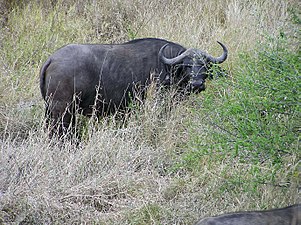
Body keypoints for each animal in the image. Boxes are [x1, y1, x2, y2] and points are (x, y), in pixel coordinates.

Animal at [39, 37, 227, 136]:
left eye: (205, 65)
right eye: (187, 65)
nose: (197, 84)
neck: (168, 67)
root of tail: (52, 58)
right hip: (63, 111)